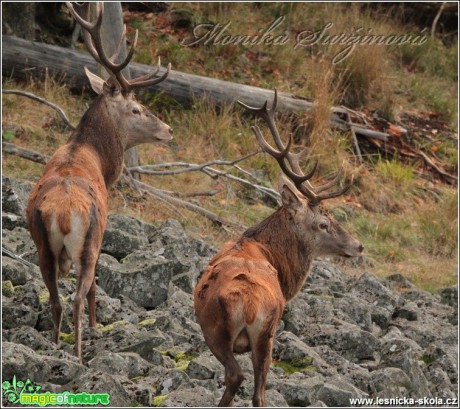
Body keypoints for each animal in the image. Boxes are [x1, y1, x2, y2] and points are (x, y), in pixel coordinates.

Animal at [26, 2, 172, 360]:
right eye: (136, 109)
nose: (168, 129)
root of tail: (63, 214)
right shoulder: (102, 233)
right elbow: (95, 286)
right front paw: (97, 327)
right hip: (88, 242)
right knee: (78, 296)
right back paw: (79, 354)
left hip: (42, 247)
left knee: (54, 301)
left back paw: (54, 346)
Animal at [193, 91, 362, 406]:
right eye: (323, 223)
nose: (358, 246)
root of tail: (248, 304)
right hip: (261, 332)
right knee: (254, 389)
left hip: (224, 331)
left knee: (241, 379)